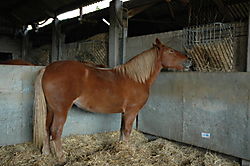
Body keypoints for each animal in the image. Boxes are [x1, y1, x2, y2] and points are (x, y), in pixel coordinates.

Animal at [33, 38, 191, 163]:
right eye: (171, 51)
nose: (189, 60)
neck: (137, 78)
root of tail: (47, 69)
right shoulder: (132, 111)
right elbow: (127, 130)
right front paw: (127, 149)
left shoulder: (124, 112)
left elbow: (122, 130)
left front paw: (120, 146)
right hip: (61, 110)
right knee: (56, 131)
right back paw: (61, 157)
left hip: (51, 109)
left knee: (46, 128)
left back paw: (46, 152)